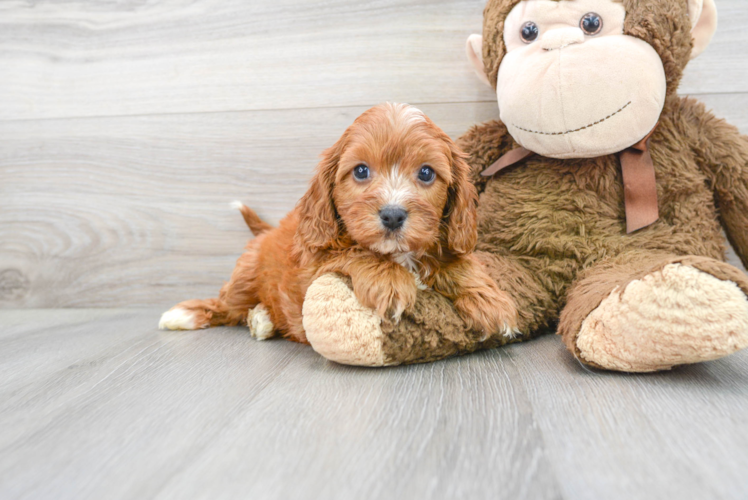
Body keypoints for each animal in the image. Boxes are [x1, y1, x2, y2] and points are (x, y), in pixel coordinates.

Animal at [160, 101, 516, 344]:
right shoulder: (315, 264)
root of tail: (267, 232)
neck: (399, 254)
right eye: (360, 171)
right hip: (245, 274)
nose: (392, 214)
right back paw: (190, 314)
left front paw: (490, 301)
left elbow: (459, 265)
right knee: (228, 302)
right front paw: (391, 281)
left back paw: (262, 318)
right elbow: (356, 252)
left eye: (426, 173)